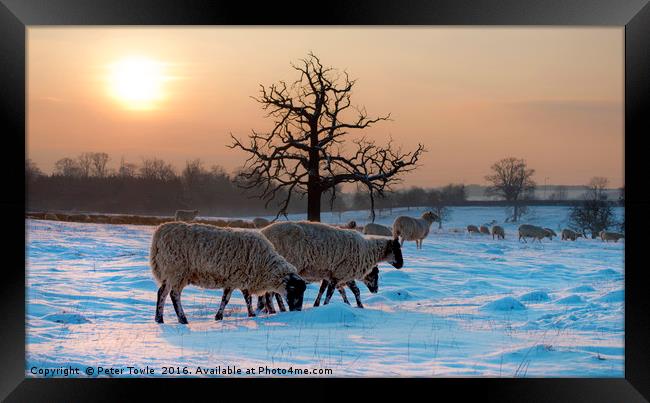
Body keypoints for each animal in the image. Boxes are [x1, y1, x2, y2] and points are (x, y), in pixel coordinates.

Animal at [151, 223, 306, 324]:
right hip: (176, 270)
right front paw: (244, 315)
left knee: (162, 292)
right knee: (174, 295)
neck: (264, 264)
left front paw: (244, 315)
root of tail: (160, 232)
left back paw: (159, 319)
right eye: (295, 290)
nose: (298, 310)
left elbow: (236, 298)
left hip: (169, 272)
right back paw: (183, 319)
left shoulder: (236, 278)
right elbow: (236, 299)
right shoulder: (237, 277)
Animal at [258, 221, 400, 310]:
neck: (366, 251)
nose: (376, 290)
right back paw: (277, 309)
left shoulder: (334, 275)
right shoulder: (340, 273)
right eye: (376, 274)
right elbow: (333, 293)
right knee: (274, 293)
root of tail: (264, 232)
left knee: (270, 293)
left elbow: (331, 291)